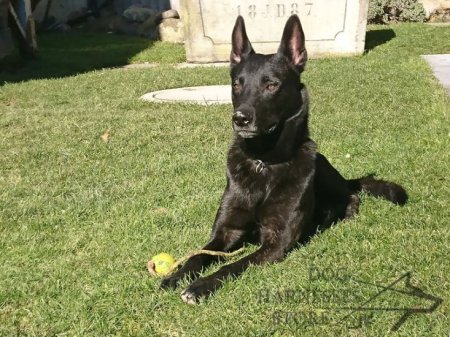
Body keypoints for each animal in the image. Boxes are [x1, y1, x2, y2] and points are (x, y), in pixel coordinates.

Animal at [160, 14, 406, 304]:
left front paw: (200, 286)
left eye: (271, 85)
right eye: (236, 84)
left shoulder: (276, 242)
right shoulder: (225, 230)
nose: (240, 118)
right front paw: (176, 276)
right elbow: (198, 255)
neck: (263, 162)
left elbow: (234, 265)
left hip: (324, 170)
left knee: (351, 196)